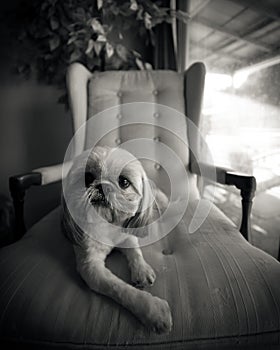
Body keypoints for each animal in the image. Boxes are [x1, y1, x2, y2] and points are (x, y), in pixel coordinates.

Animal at [62, 146, 173, 334]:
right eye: (88, 178)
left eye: (124, 182)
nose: (102, 185)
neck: (107, 224)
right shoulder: (91, 268)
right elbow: (120, 289)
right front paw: (153, 311)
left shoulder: (127, 237)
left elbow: (135, 253)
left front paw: (141, 270)